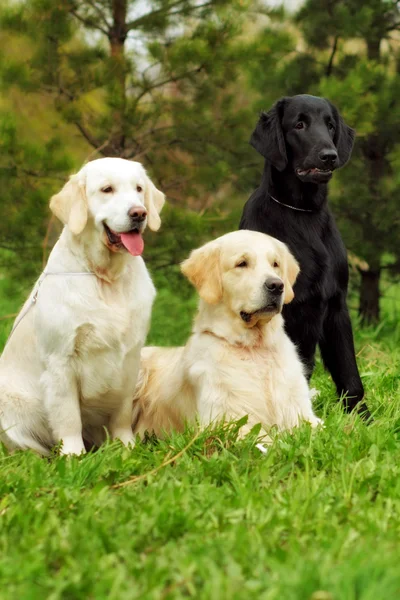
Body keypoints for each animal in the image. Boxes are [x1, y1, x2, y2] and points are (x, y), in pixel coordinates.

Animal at [0, 158, 165, 454]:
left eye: (138, 188)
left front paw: (127, 447)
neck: (105, 278)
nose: (139, 213)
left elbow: (121, 412)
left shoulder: (130, 359)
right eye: (107, 189)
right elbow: (68, 417)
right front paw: (73, 454)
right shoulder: (61, 360)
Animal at [239, 94, 368, 414]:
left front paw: (363, 419)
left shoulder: (336, 305)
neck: (302, 213)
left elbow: (350, 376)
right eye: (299, 125)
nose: (329, 155)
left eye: (330, 125)